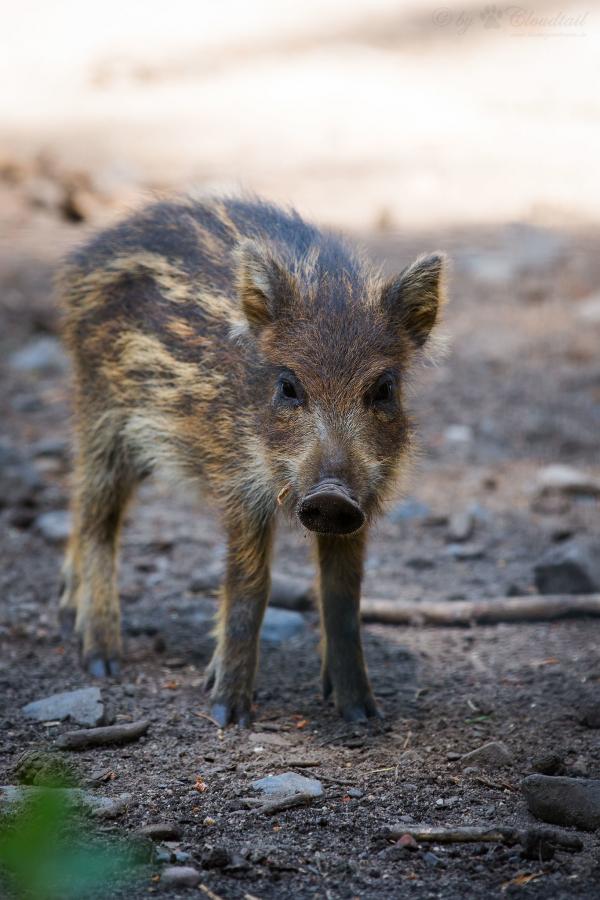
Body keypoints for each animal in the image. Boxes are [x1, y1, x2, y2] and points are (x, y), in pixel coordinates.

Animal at [58, 195, 446, 725]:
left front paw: (360, 713)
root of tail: (90, 252)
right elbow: (249, 586)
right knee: (96, 516)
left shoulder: (363, 501)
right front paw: (227, 712)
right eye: (288, 386)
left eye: (385, 388)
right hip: (100, 416)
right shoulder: (240, 484)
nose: (330, 495)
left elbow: (343, 596)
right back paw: (101, 659)